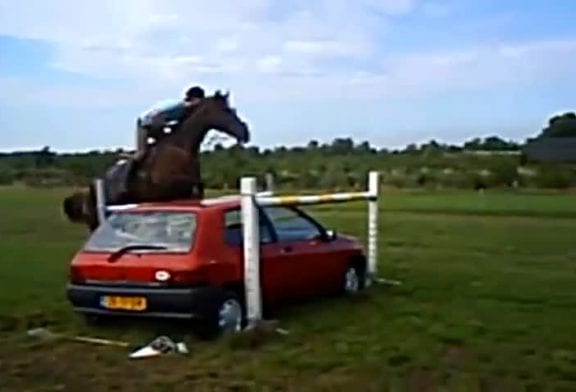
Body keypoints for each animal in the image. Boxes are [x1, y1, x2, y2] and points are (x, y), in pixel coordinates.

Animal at [63, 91, 250, 233]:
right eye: (226, 110)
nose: (245, 133)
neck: (180, 147)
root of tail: (92, 186)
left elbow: (198, 187)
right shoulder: (169, 185)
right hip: (98, 217)